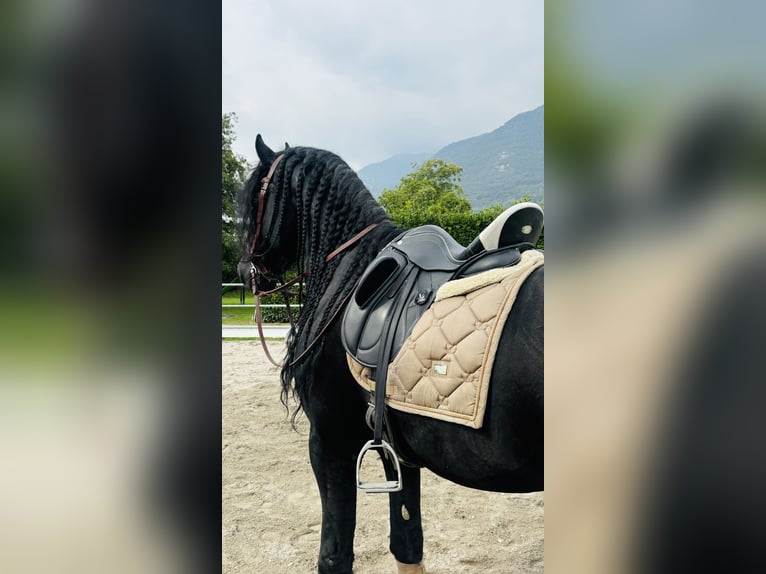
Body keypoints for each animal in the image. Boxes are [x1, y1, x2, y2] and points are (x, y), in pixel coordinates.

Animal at [238, 135, 543, 574]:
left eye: (250, 199)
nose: (245, 273)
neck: (348, 272)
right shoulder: (399, 452)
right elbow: (407, 541)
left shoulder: (329, 441)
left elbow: (334, 554)